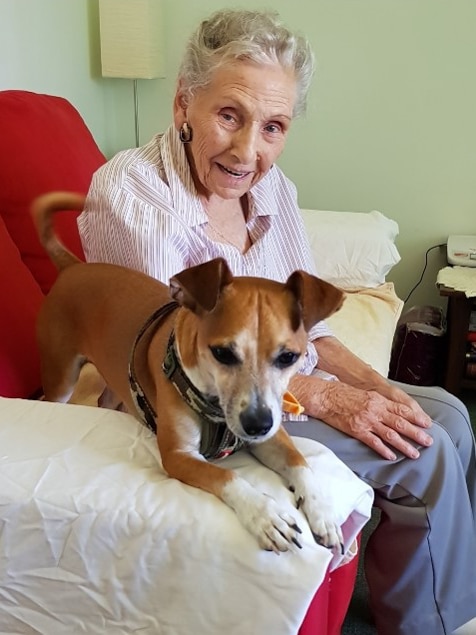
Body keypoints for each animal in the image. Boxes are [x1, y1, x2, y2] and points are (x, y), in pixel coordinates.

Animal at [33, 191, 346, 556]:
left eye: (288, 357)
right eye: (222, 353)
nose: (257, 424)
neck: (214, 406)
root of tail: (73, 266)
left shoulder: (273, 437)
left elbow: (300, 463)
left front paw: (322, 511)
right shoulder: (179, 456)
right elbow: (228, 477)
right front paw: (266, 515)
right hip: (61, 378)